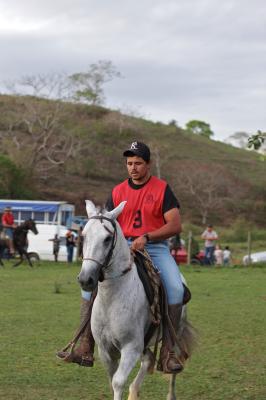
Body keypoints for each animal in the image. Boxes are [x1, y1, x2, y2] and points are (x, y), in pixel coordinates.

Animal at [78, 202, 194, 400]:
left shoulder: (131, 348)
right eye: (83, 236)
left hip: (175, 334)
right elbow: (112, 381)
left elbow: (117, 382)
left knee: (173, 364)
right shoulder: (106, 351)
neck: (112, 299)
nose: (86, 279)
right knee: (148, 360)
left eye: (107, 238)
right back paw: (134, 392)